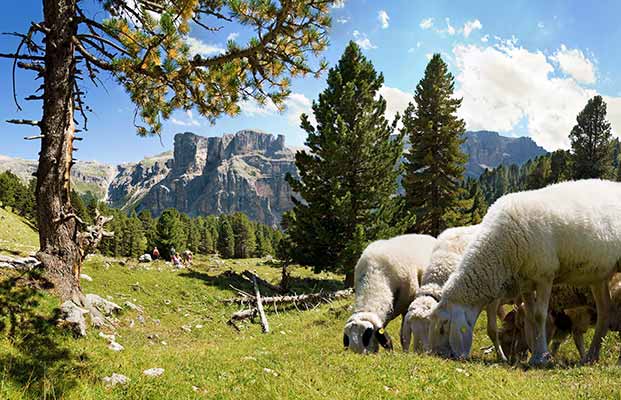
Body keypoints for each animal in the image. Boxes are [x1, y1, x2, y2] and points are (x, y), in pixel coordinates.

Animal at [428, 180, 620, 368]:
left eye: (443, 327)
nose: (437, 355)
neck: (501, 247)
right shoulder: (526, 282)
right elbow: (530, 316)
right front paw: (535, 353)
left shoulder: (544, 275)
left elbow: (540, 315)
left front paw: (541, 358)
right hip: (599, 275)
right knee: (605, 310)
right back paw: (591, 356)